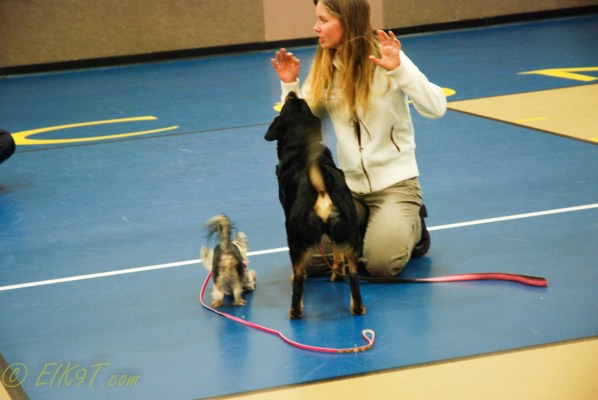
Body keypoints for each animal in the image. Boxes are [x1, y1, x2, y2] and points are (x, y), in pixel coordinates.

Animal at [265, 92, 365, 319]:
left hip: (295, 239)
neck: (301, 143)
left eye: (288, 103)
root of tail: (321, 184)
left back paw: (295, 311)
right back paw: (357, 307)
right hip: (350, 235)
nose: (292, 93)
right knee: (354, 278)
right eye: (304, 103)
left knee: (299, 279)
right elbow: (337, 255)